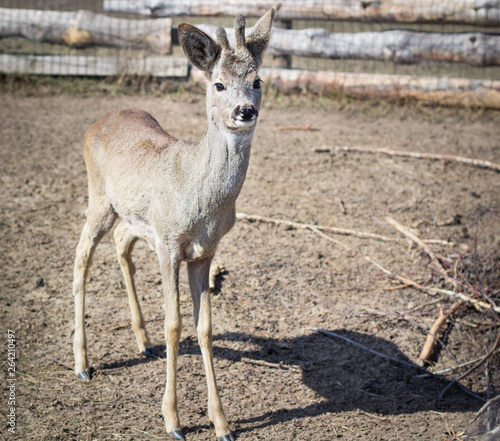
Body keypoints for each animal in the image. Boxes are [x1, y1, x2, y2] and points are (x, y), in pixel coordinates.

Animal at [72, 8, 276, 440]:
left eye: (257, 80)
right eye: (218, 83)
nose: (245, 111)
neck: (201, 202)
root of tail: (99, 120)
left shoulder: (205, 252)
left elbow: (205, 328)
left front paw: (222, 423)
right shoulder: (168, 244)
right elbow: (174, 324)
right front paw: (173, 421)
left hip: (133, 217)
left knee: (121, 242)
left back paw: (142, 342)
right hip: (99, 197)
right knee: (81, 256)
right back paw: (82, 363)